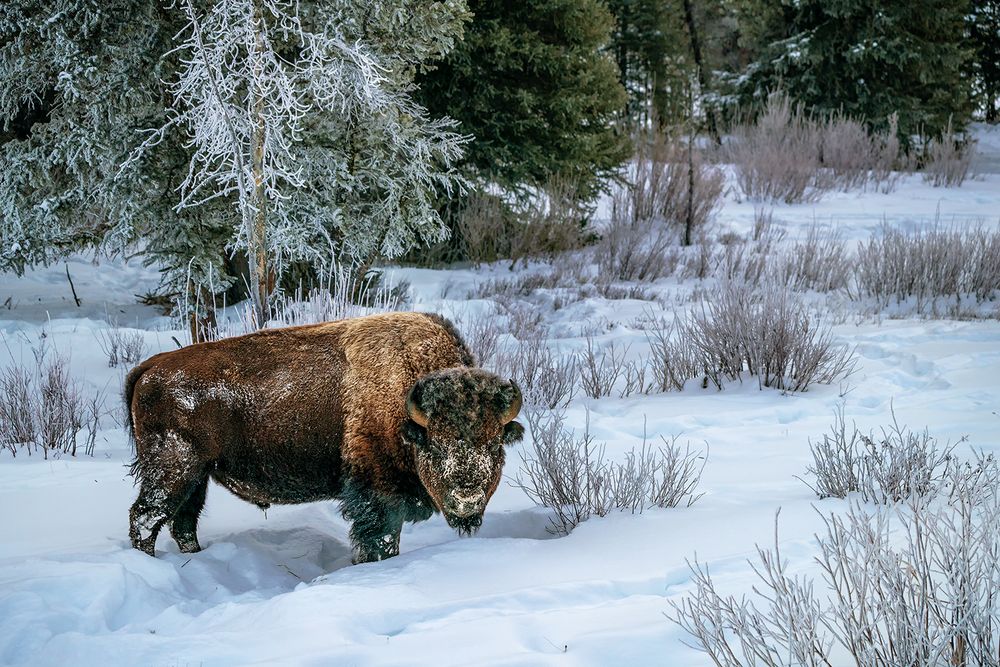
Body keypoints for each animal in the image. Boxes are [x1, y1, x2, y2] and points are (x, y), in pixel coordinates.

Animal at [125, 314, 524, 564]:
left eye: (494, 444)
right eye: (436, 444)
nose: (467, 499)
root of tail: (150, 368)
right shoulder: (377, 495)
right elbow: (380, 539)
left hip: (197, 476)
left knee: (182, 522)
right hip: (173, 470)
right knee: (146, 517)